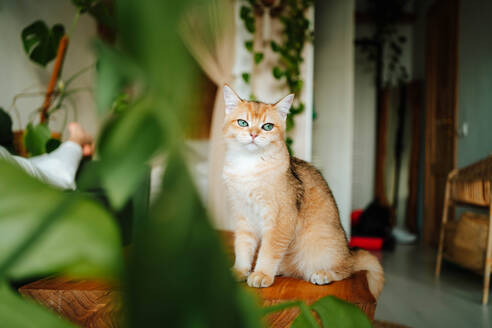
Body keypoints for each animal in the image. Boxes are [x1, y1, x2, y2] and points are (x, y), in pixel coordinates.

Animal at [222, 85, 384, 300]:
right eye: (242, 122)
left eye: (267, 126)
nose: (254, 135)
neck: (249, 166)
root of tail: (350, 253)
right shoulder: (243, 216)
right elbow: (243, 247)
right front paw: (240, 270)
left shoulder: (281, 218)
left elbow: (269, 250)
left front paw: (262, 274)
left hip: (319, 246)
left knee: (346, 270)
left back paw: (323, 274)